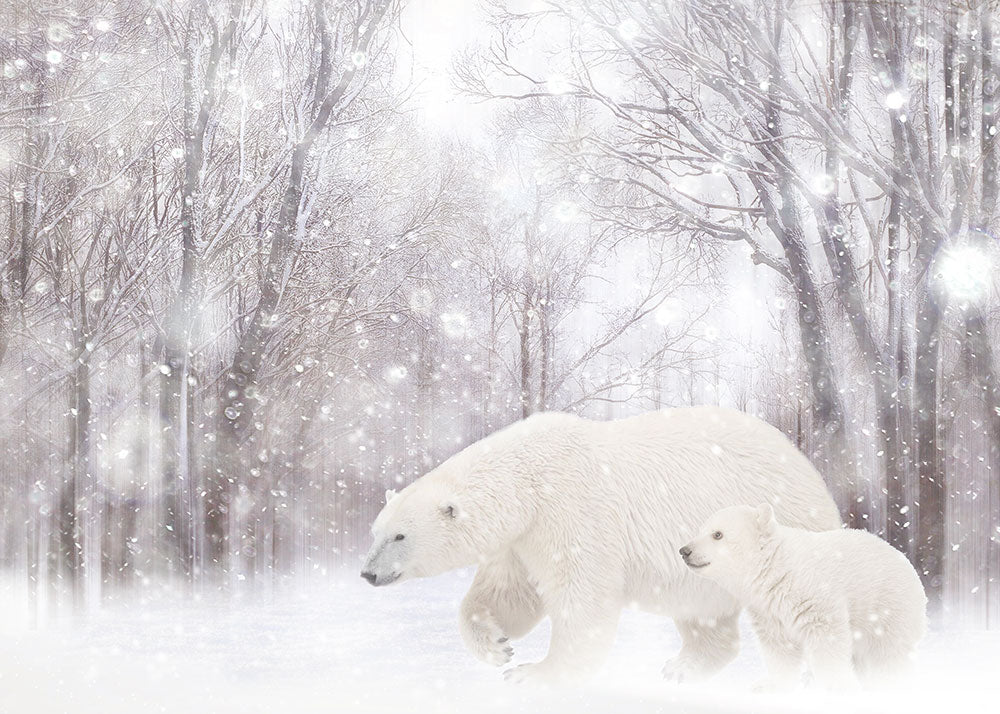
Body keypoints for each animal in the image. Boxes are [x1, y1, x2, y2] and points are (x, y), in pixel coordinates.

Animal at [360, 407, 841, 684]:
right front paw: (497, 646)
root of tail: (808, 466)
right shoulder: (521, 539)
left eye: (400, 535)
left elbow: (582, 596)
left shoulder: (573, 510)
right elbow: (509, 594)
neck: (529, 479)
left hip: (780, 526)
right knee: (701, 610)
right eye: (376, 532)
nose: (367, 573)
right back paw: (681, 667)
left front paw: (535, 675)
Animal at [680, 503, 927, 691]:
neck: (776, 570)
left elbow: (827, 641)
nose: (685, 550)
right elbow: (779, 647)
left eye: (717, 534)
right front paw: (771, 686)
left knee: (890, 653)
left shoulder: (814, 597)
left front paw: (835, 687)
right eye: (701, 529)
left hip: (888, 607)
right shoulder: (767, 609)